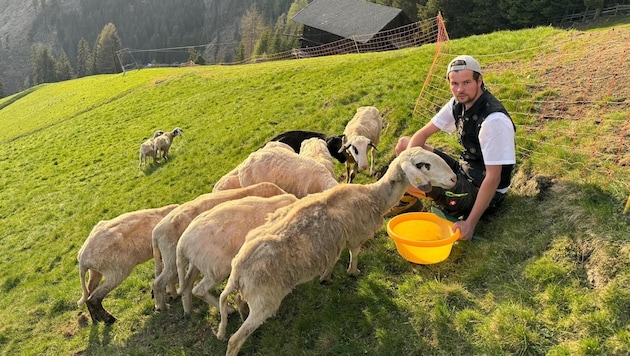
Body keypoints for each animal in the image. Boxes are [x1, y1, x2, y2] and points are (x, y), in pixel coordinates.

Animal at [149, 182, 288, 310]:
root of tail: (155, 233)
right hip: (185, 261)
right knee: (161, 283)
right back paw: (163, 306)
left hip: (192, 262)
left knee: (184, 284)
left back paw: (186, 310)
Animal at [217, 146, 460, 354]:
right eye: (423, 165)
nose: (454, 179)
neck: (373, 196)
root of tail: (237, 271)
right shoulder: (355, 235)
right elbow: (354, 254)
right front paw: (353, 272)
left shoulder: (335, 242)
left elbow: (333, 260)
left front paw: (326, 277)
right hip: (265, 299)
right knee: (234, 339)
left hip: (252, 295)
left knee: (239, 302)